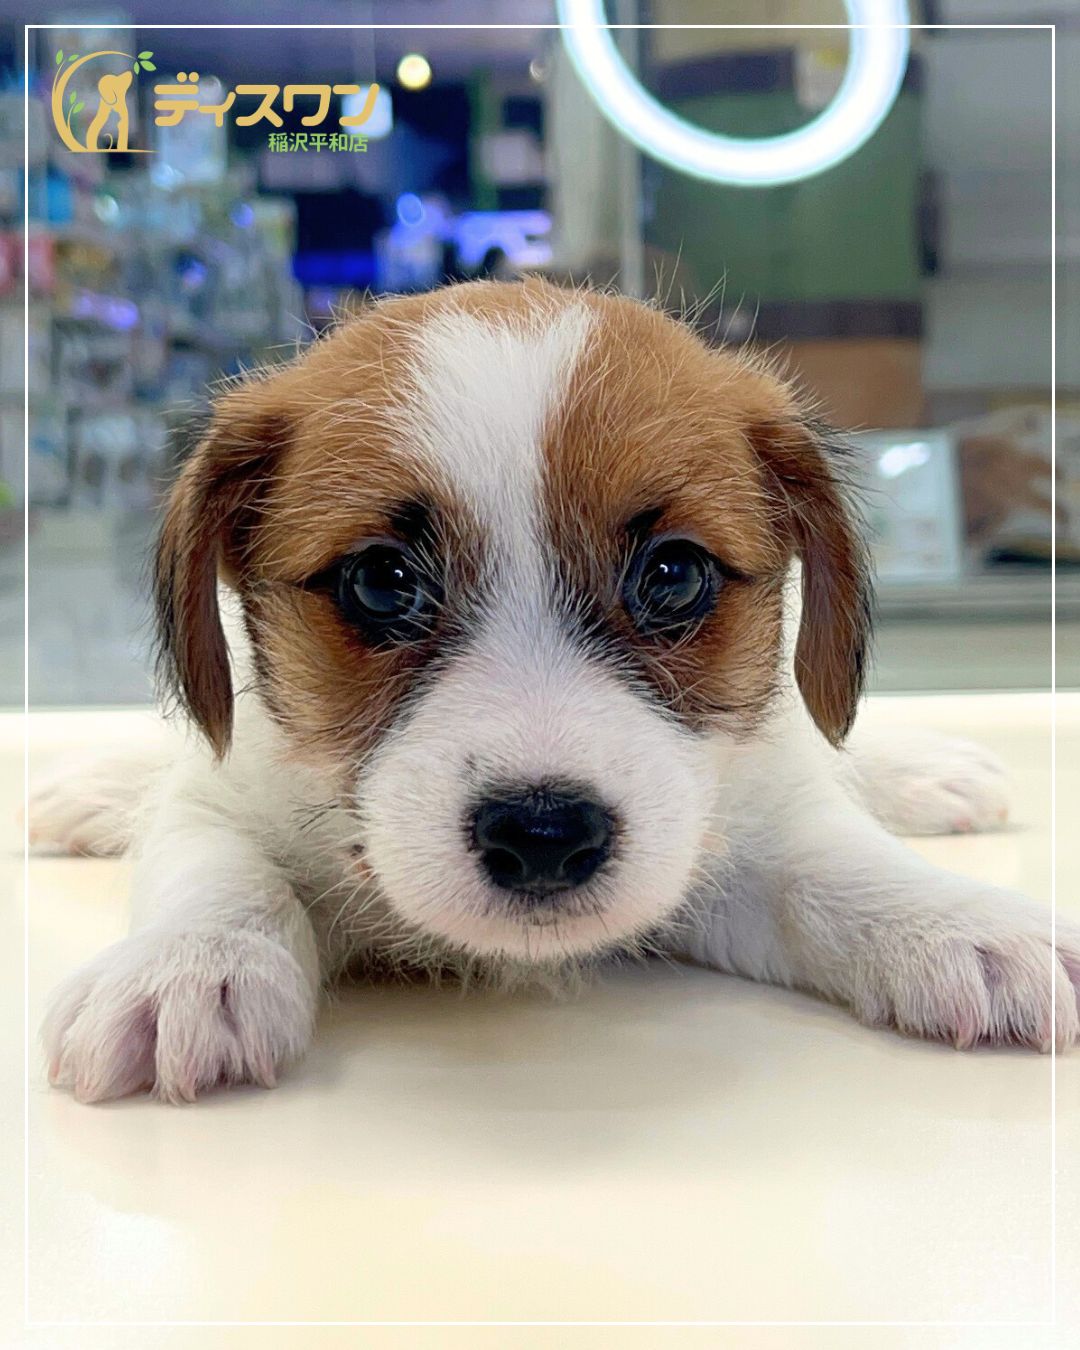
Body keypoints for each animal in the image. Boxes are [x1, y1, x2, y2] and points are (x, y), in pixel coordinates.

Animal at [32, 278, 1080, 1104]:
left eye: (674, 576)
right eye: (380, 581)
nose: (544, 835)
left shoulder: (737, 838)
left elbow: (837, 866)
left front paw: (966, 923)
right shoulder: (223, 794)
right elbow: (217, 870)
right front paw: (185, 966)